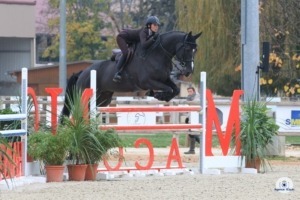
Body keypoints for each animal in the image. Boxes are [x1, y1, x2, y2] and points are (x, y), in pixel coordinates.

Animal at [61, 31, 202, 117]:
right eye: (187, 48)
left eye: (195, 50)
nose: (188, 71)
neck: (158, 54)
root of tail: (83, 73)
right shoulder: (147, 82)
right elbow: (168, 89)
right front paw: (158, 95)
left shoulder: (165, 79)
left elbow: (175, 89)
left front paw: (162, 96)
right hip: (86, 94)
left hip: (103, 98)